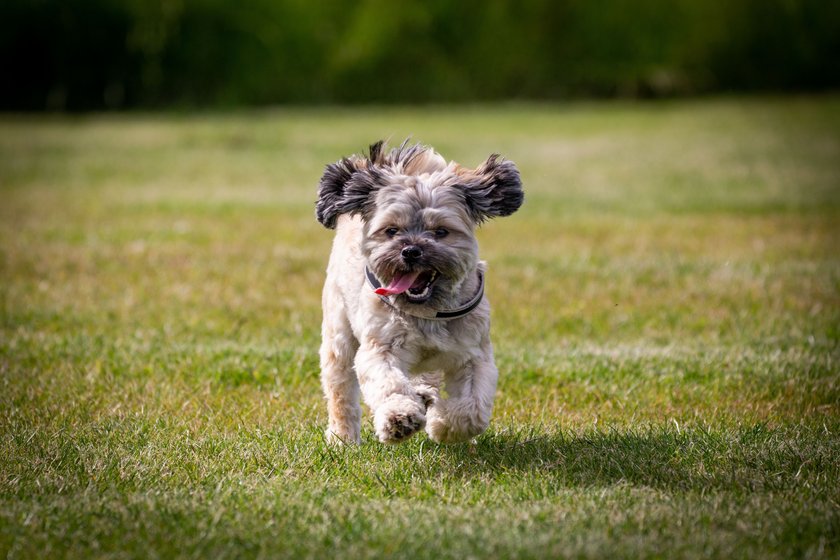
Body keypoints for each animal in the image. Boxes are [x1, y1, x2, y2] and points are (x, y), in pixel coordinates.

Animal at [316, 141, 524, 446]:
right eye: (391, 230)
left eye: (441, 232)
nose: (411, 250)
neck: (427, 311)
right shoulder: (381, 347)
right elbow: (389, 385)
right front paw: (398, 419)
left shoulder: (474, 355)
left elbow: (473, 411)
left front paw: (441, 426)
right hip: (338, 333)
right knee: (340, 388)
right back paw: (343, 438)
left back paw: (425, 397)